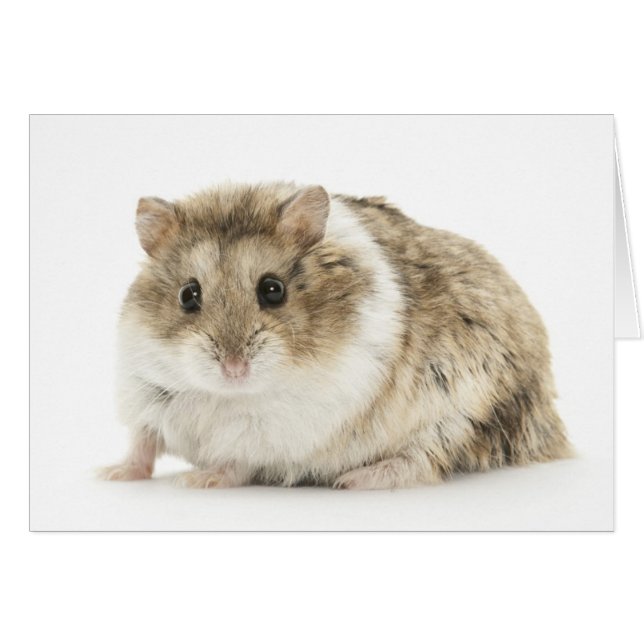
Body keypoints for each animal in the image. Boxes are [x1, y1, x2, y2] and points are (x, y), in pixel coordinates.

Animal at [99, 182, 572, 489]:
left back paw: (355, 479)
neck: (226, 395)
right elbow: (141, 443)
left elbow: (239, 459)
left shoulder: (286, 430)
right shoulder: (144, 392)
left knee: (424, 461)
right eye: (188, 294)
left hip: (464, 415)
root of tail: (553, 430)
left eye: (273, 290)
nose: (234, 368)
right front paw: (110, 474)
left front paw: (200, 480)